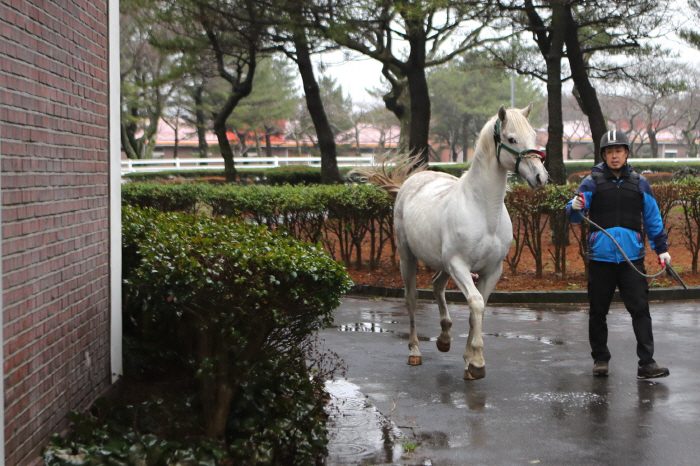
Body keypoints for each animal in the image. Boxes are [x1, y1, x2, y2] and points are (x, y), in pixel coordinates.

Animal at [360, 104, 548, 378]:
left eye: (534, 136)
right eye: (512, 138)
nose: (540, 177)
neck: (483, 211)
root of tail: (411, 182)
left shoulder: (492, 270)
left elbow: (477, 309)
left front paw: (469, 361)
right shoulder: (459, 265)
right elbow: (476, 303)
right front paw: (477, 362)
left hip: (443, 264)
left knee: (437, 284)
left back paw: (444, 338)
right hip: (408, 257)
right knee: (411, 298)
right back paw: (415, 351)